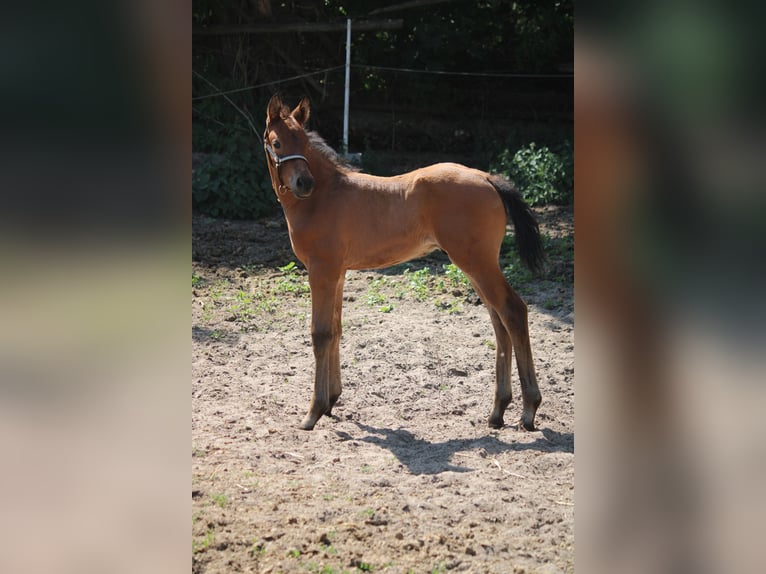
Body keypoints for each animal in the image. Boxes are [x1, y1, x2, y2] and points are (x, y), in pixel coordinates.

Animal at [263, 95, 544, 431]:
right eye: (277, 142)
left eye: (303, 141)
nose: (304, 183)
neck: (323, 197)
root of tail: (486, 178)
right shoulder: (338, 273)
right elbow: (336, 330)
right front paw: (331, 400)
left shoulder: (322, 271)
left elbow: (321, 334)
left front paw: (314, 411)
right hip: (475, 265)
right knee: (498, 319)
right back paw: (498, 410)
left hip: (477, 263)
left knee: (513, 312)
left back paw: (528, 410)